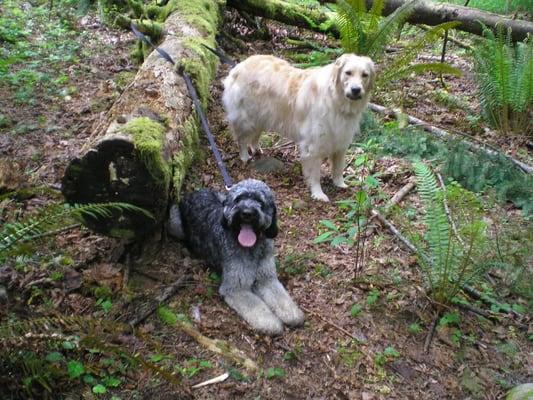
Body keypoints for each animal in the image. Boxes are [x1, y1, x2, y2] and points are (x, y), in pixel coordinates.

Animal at [169, 180, 304, 336]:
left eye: (260, 201)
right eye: (238, 199)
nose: (247, 213)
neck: (252, 248)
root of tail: (194, 192)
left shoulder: (267, 278)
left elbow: (280, 296)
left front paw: (292, 314)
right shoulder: (236, 288)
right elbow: (256, 307)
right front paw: (271, 323)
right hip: (174, 222)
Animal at [222, 53, 376, 202]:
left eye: (365, 75)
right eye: (348, 73)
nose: (356, 90)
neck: (335, 99)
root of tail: (240, 66)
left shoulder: (341, 141)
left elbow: (338, 168)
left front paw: (340, 184)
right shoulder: (313, 146)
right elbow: (315, 174)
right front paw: (318, 193)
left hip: (262, 116)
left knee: (255, 135)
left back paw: (256, 149)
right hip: (246, 119)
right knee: (242, 139)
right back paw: (244, 157)